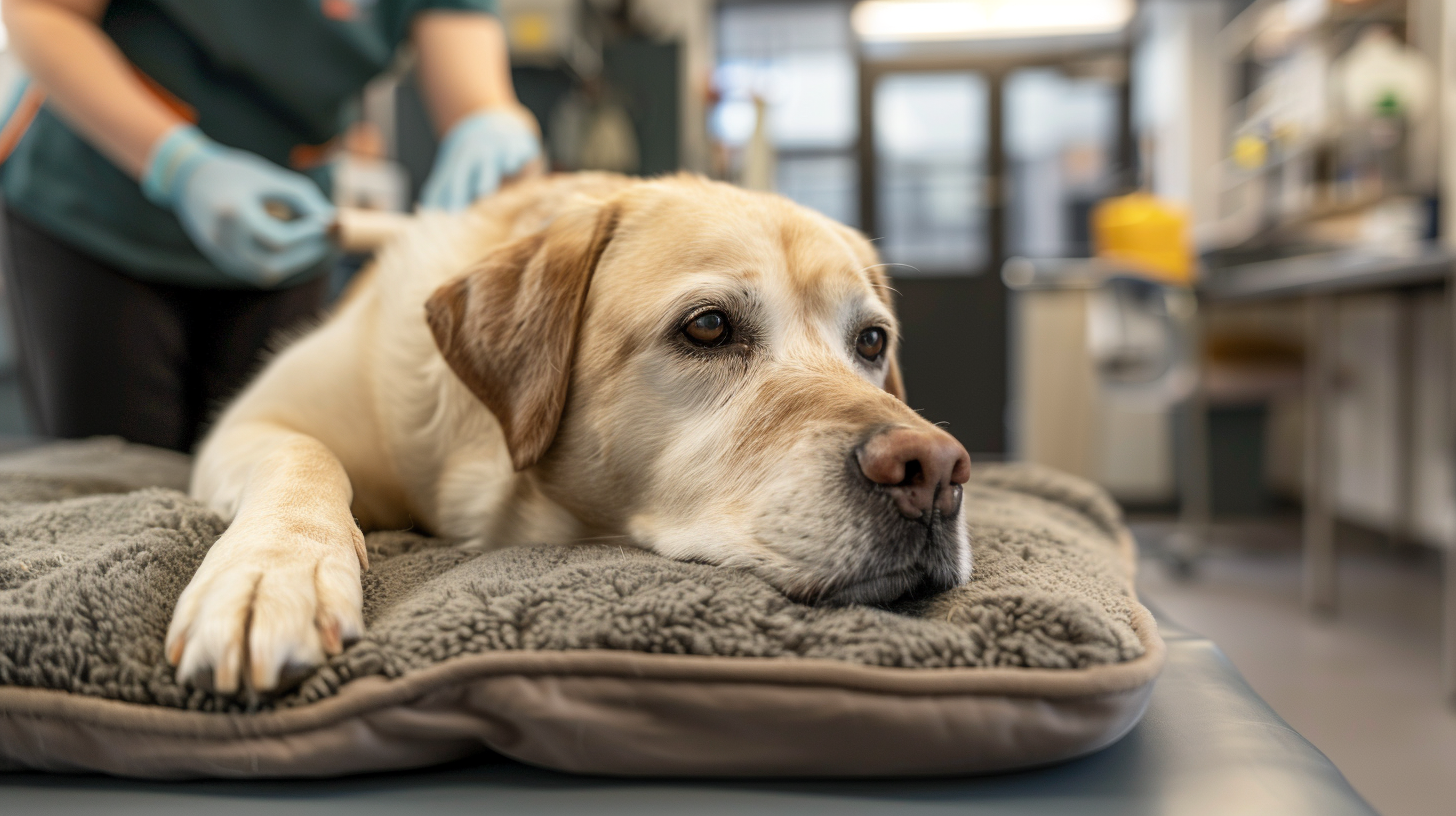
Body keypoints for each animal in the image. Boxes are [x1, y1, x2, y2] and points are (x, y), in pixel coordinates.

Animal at [167, 173, 966, 693]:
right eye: (709, 326)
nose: (934, 471)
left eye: (871, 341)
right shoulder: (250, 423)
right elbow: (303, 454)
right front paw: (271, 574)